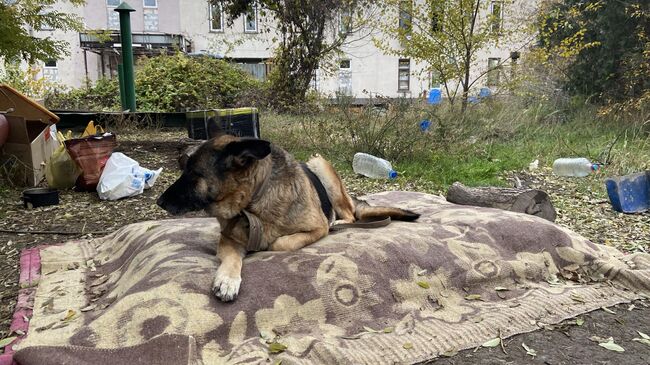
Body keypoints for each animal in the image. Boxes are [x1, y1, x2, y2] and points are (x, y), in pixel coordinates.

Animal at [158, 121, 420, 300]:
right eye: (184, 170)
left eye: (194, 174)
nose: (159, 202)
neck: (253, 204)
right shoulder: (228, 239)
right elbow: (232, 258)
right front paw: (227, 279)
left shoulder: (316, 229)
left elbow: (280, 243)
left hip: (320, 164)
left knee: (350, 215)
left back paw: (339, 222)